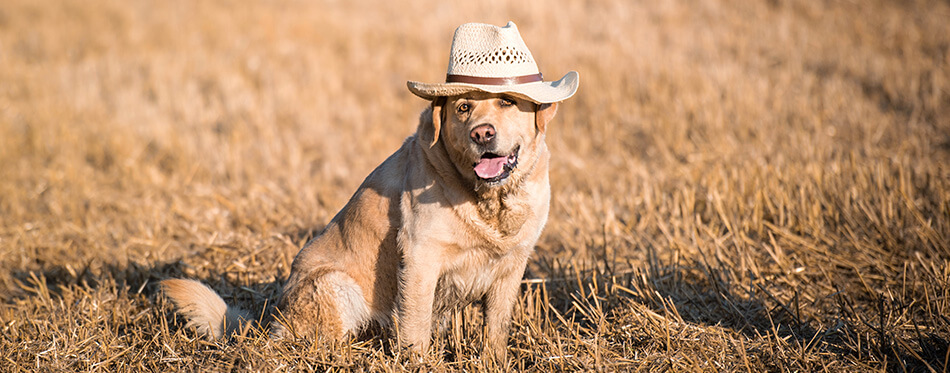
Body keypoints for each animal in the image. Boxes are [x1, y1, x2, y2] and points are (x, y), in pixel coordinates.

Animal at [164, 21, 580, 362]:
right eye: (463, 107)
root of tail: (273, 320)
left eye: (507, 101)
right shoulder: (420, 257)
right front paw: (418, 363)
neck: (489, 201)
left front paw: (495, 362)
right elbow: (415, 326)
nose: (482, 134)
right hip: (335, 285)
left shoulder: (513, 266)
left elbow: (496, 330)